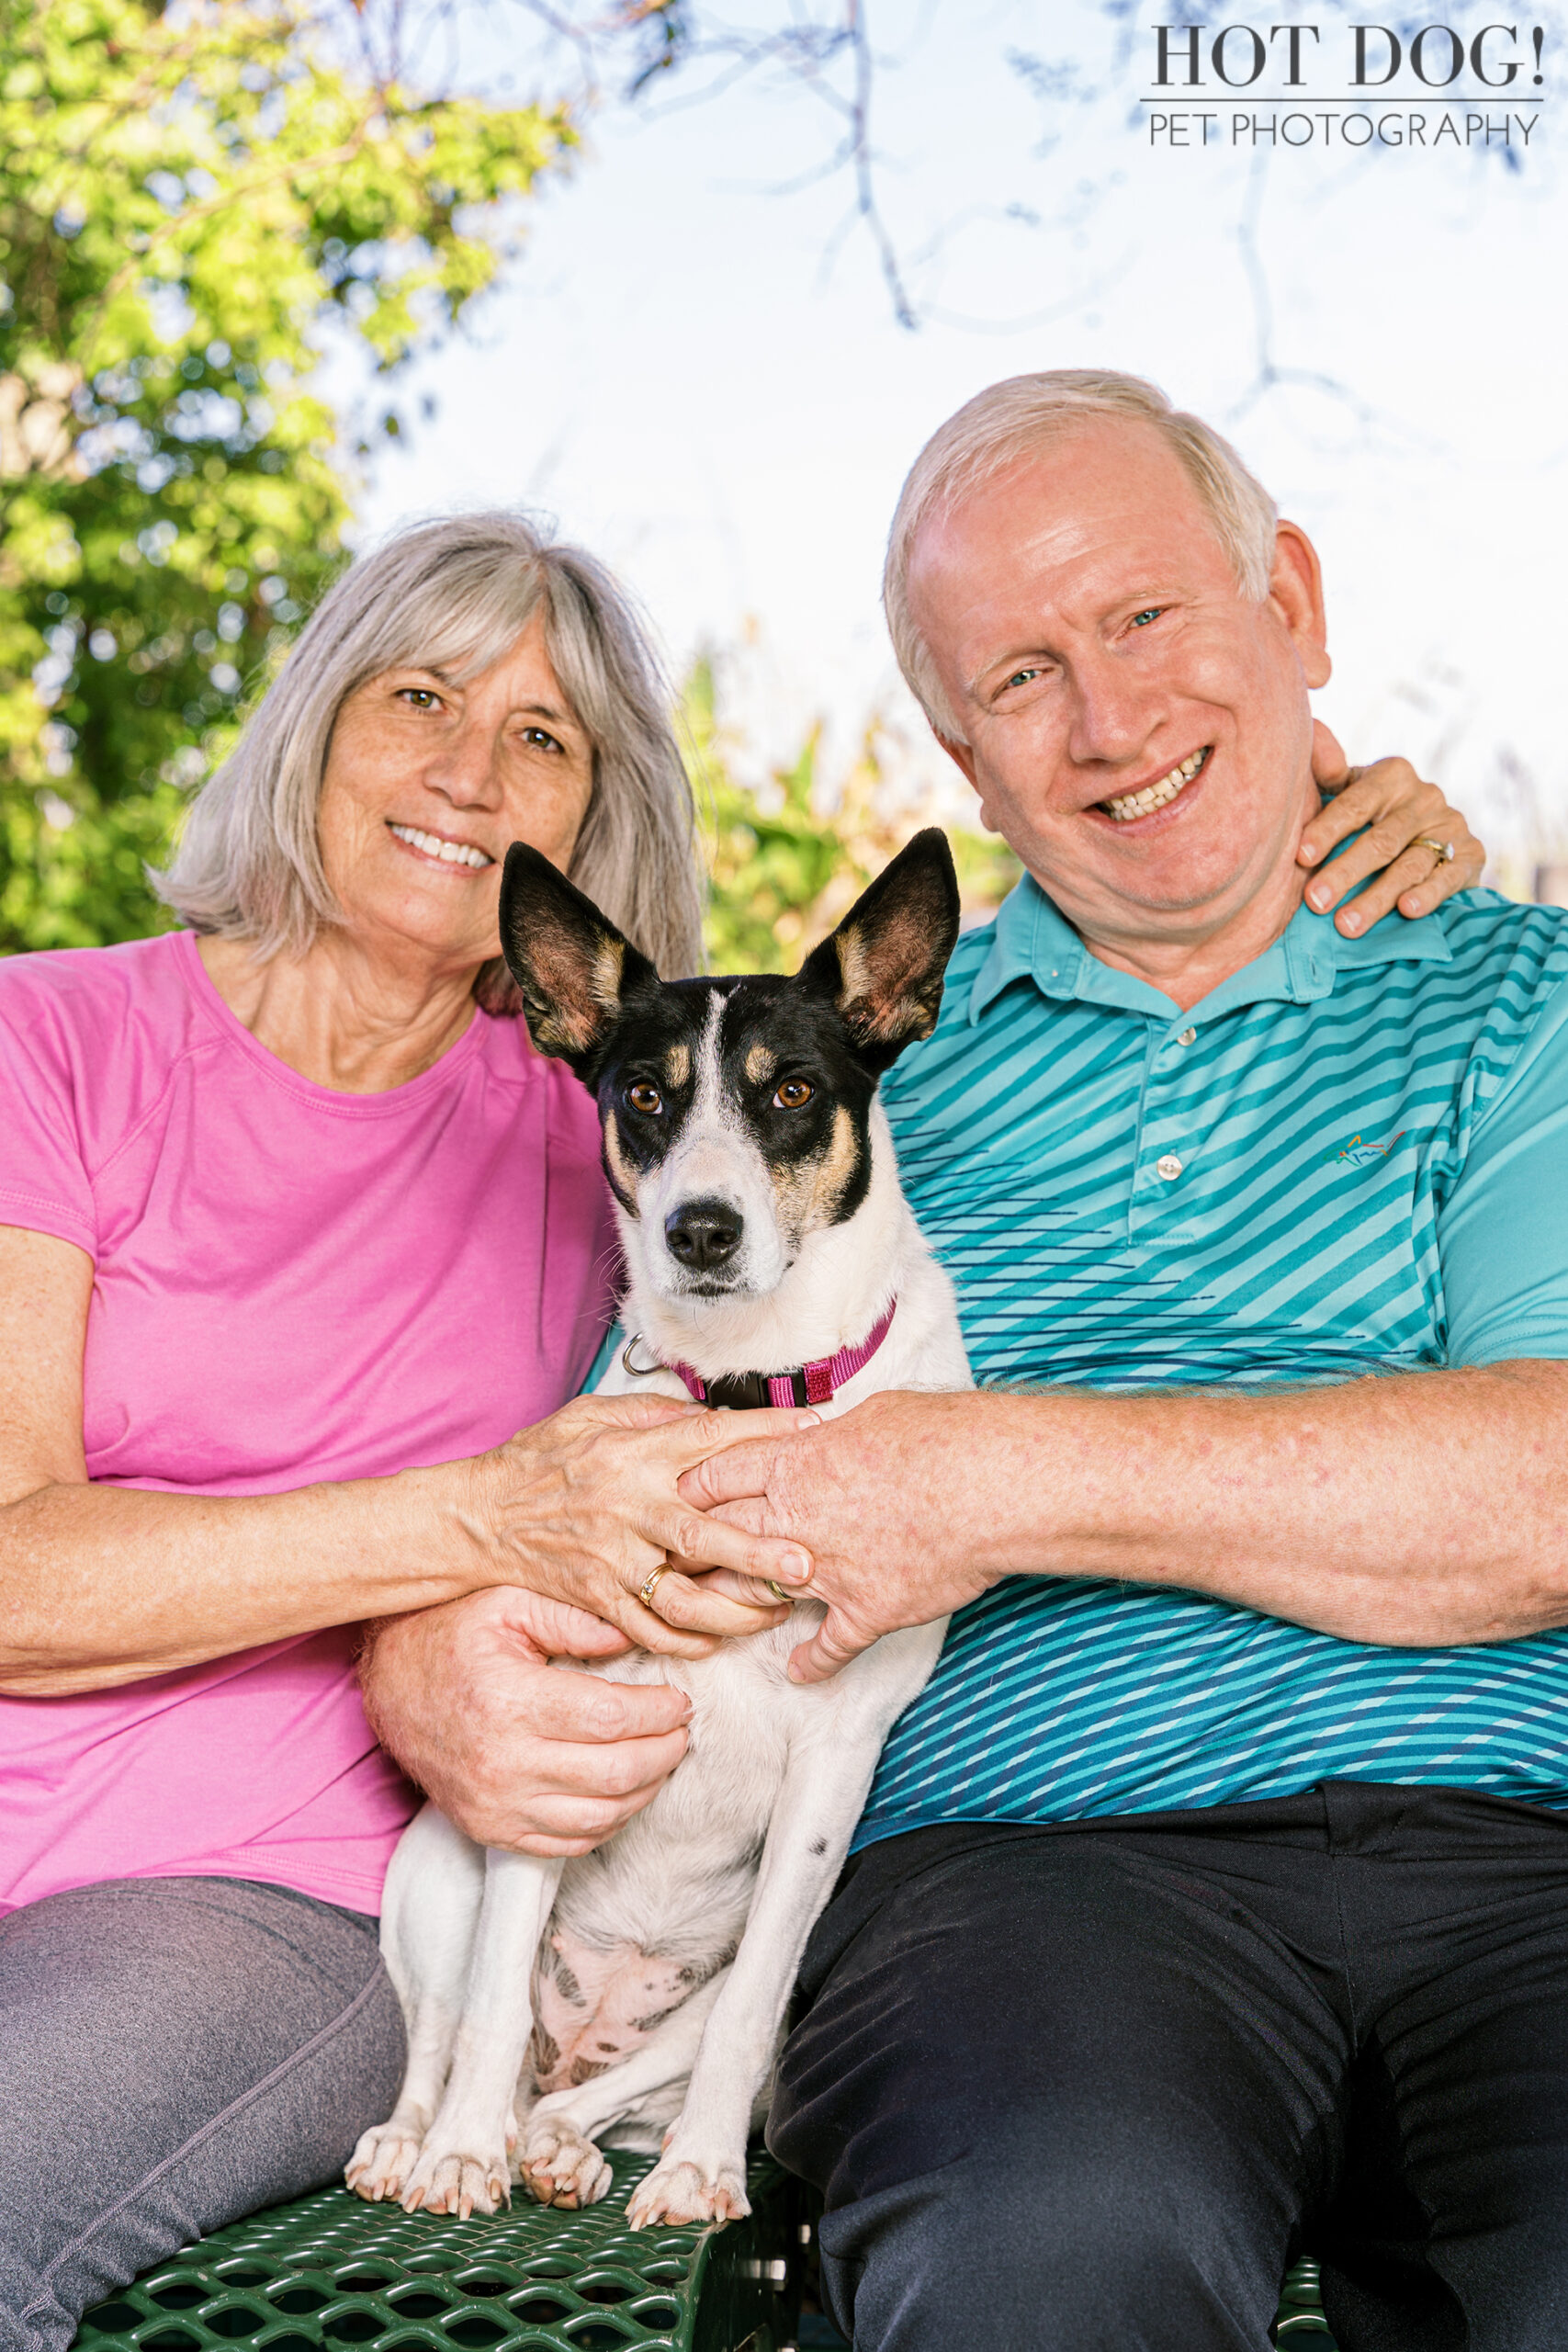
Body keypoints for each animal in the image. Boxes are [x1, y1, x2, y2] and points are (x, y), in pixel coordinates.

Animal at [350, 837, 973, 2229]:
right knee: (447, 2033)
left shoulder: (833, 1764)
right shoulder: (544, 1729)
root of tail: (581, 2036)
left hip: (743, 1988)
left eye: (792, 1089)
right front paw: (457, 2155)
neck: (745, 1399)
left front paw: (699, 2171)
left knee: (604, 2091)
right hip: (440, 1867)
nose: (700, 1229)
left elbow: (738, 2022)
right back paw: (431, 2140)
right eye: (642, 1094)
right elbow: (483, 2007)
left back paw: (576, 2144)